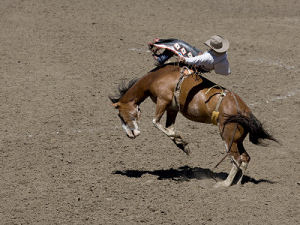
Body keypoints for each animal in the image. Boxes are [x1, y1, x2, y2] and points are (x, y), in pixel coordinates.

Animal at [109, 62, 276, 186]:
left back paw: (225, 184)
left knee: (237, 159)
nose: (131, 134)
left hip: (228, 137)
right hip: (237, 139)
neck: (156, 78)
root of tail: (244, 110)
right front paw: (183, 145)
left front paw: (181, 139)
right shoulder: (172, 108)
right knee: (245, 158)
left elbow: (156, 123)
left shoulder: (163, 101)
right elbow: (169, 128)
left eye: (121, 115)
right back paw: (238, 183)